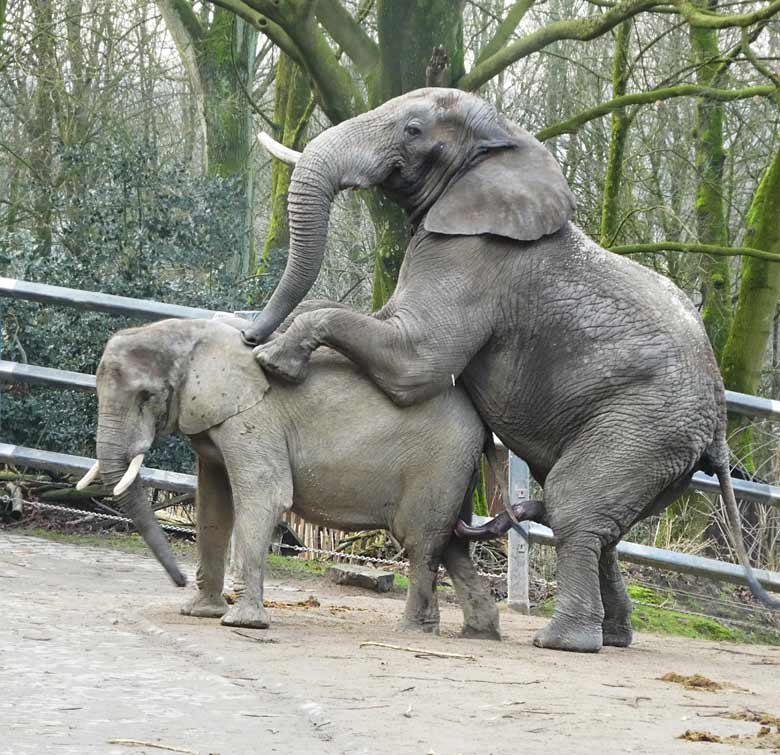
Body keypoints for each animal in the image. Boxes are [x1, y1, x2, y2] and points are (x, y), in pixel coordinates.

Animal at [80, 310, 500, 640]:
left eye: (146, 396)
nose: (178, 579)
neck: (190, 333)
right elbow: (213, 505)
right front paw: (200, 611)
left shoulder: (253, 416)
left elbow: (264, 494)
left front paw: (241, 623)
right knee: (451, 540)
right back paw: (479, 631)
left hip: (439, 462)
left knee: (421, 538)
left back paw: (414, 630)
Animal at [241, 87, 776, 656]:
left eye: (413, 130)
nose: (249, 335)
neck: (506, 142)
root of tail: (718, 426)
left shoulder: (474, 258)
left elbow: (417, 361)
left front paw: (273, 359)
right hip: (659, 448)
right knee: (602, 526)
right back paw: (612, 637)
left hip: (646, 426)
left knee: (574, 504)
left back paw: (562, 642)